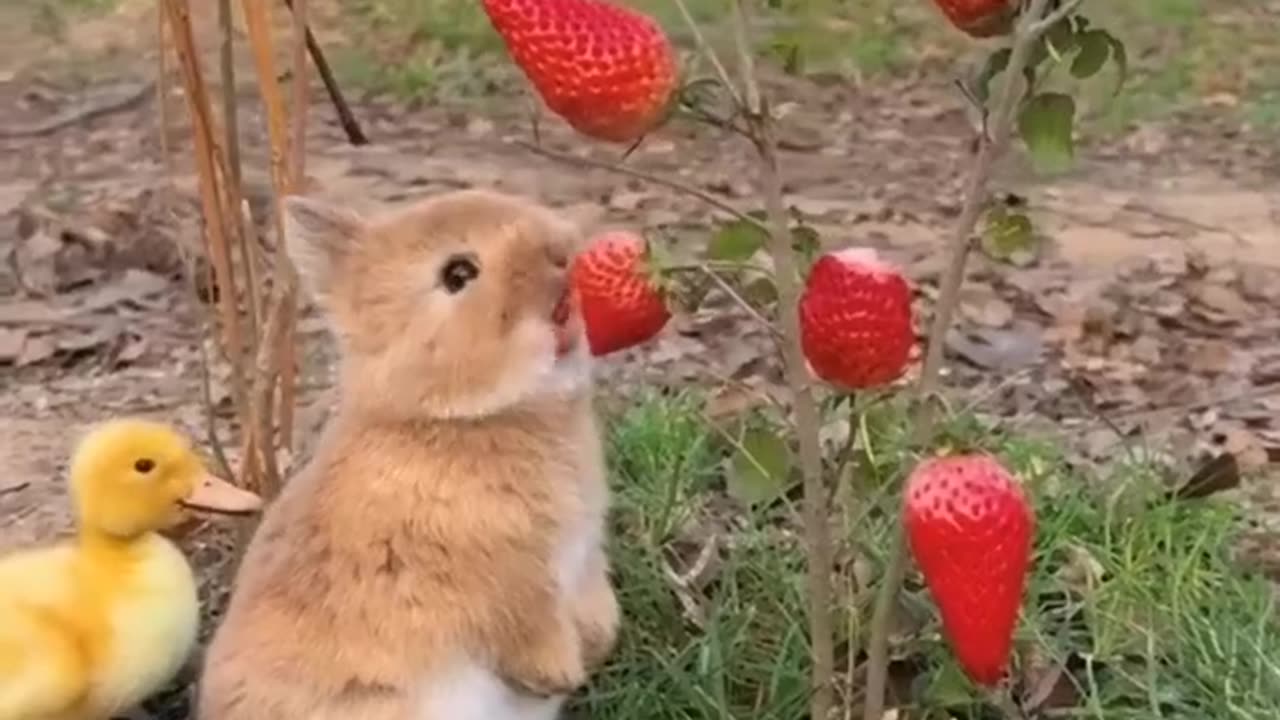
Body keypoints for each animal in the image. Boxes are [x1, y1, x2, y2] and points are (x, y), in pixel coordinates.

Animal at [194, 185, 619, 717]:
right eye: (458, 274)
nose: (562, 254)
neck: (450, 419)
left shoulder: (582, 558)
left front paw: (598, 641)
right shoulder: (502, 583)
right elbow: (524, 624)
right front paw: (559, 673)